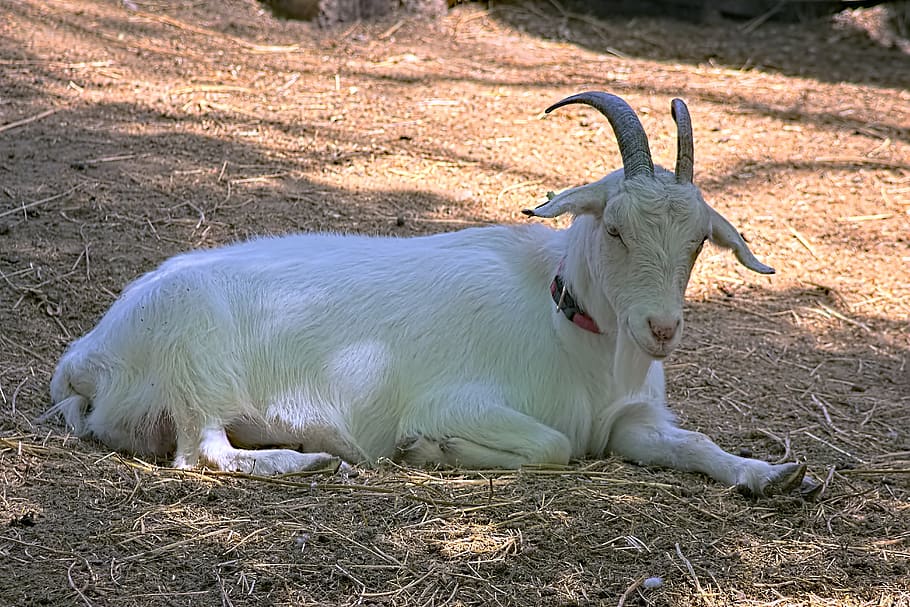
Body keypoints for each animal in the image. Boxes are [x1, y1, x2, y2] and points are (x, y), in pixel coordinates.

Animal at [48, 92, 812, 496]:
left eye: (698, 243)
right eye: (616, 228)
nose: (661, 328)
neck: (565, 322)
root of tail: (87, 355)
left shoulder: (631, 421)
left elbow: (694, 443)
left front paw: (772, 472)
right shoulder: (462, 399)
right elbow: (553, 445)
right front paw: (428, 450)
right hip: (197, 367)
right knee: (203, 453)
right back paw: (313, 458)